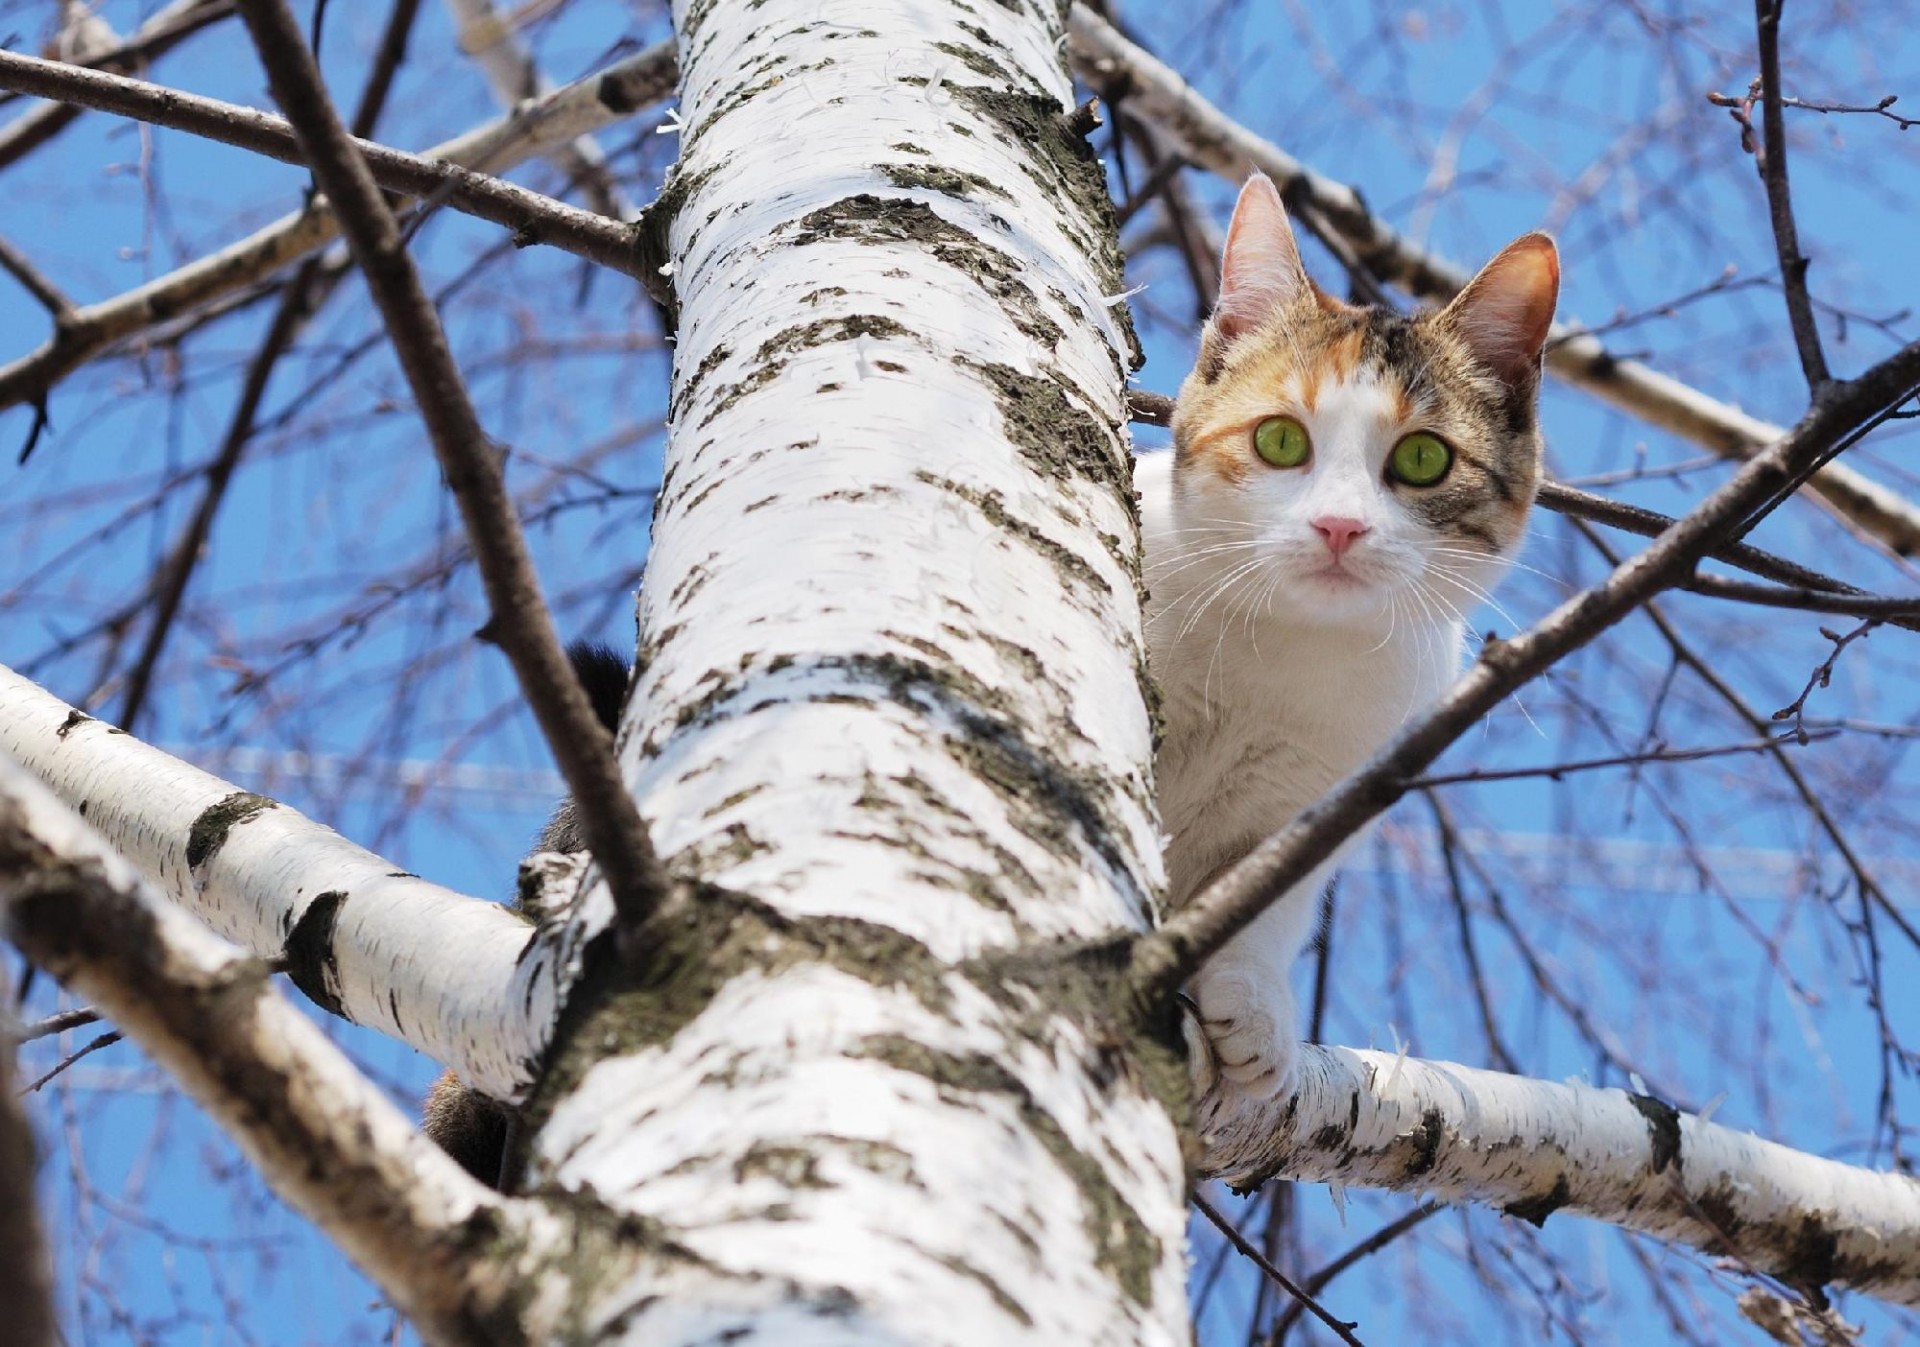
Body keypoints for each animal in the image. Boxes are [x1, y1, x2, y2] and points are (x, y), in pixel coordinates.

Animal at [1128, 171, 1551, 1097]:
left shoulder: (1327, 792)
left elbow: (1271, 897)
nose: (1339, 526)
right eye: (1281, 440)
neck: (1284, 653)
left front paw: (1256, 1001)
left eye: (1424, 459)